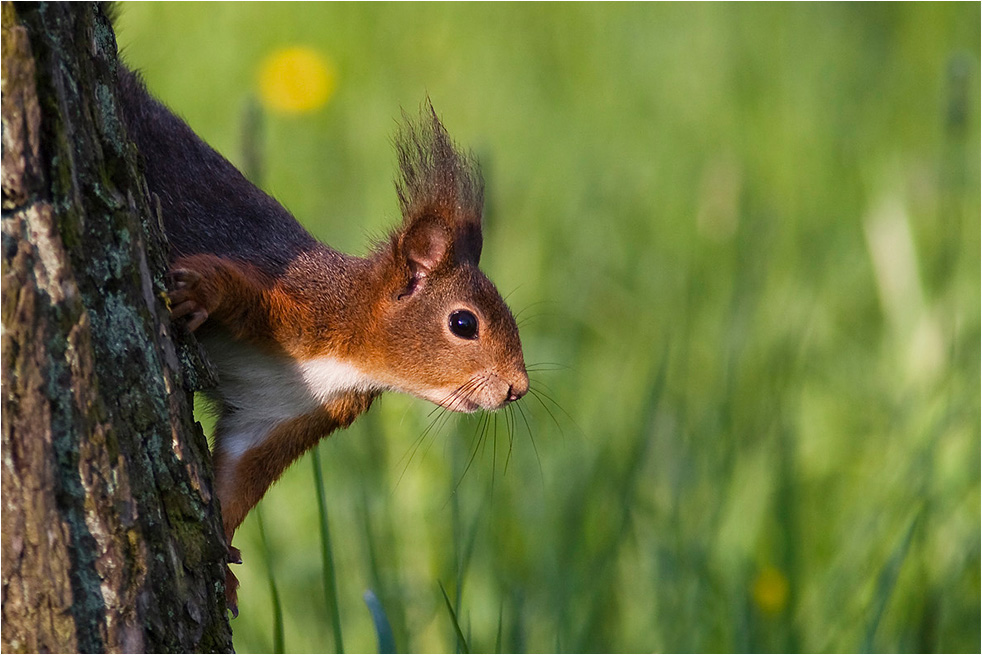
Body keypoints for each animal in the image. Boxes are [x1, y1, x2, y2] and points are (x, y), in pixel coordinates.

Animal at [116, 64, 532, 612]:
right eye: (464, 324)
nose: (518, 387)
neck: (346, 356)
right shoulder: (290, 298)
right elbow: (227, 284)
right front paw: (197, 294)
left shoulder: (281, 415)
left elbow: (237, 477)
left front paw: (223, 555)